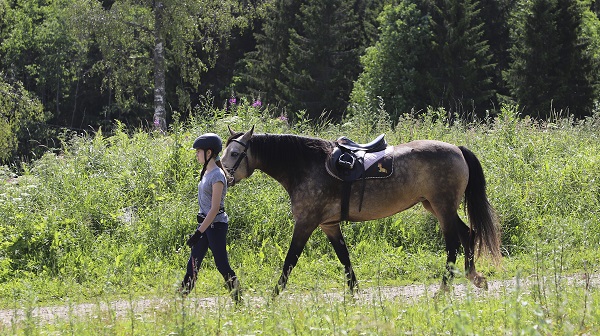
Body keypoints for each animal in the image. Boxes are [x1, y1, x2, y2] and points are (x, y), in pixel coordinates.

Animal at [220, 126, 502, 294]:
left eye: (234, 153)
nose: (223, 175)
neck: (306, 166)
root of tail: (457, 149)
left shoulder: (306, 223)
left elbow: (290, 260)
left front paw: (274, 295)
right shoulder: (329, 225)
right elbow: (344, 258)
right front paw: (354, 293)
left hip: (443, 207)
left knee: (453, 244)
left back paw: (443, 290)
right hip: (435, 206)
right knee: (469, 235)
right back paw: (474, 276)